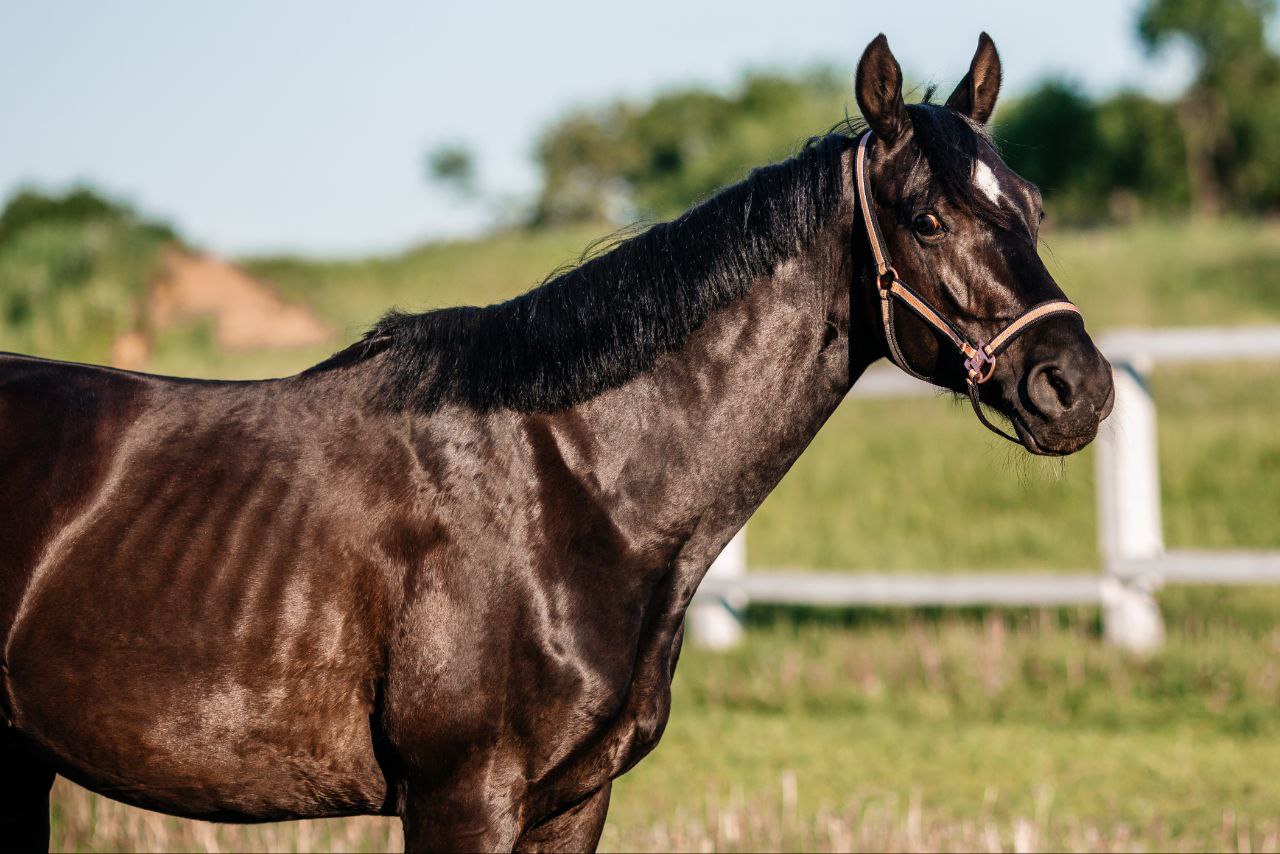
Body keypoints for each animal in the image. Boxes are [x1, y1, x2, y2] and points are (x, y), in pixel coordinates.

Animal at [0, 33, 1111, 854]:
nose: (1078, 387)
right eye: (926, 218)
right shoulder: (462, 800)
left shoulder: (574, 799)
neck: (570, 487)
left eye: (1032, 206)